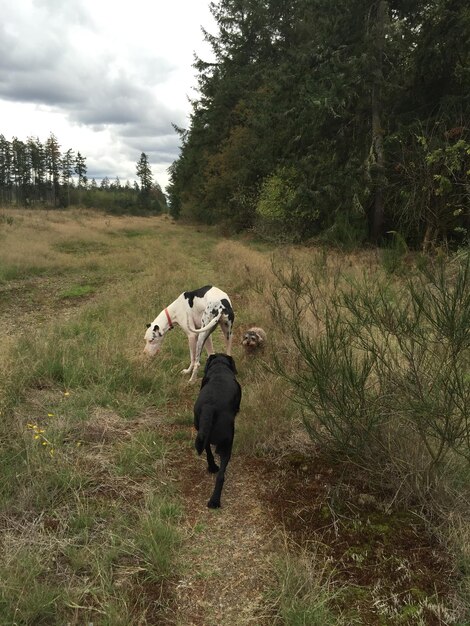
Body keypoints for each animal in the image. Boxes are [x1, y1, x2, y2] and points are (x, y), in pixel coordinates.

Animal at [194, 354, 242, 504]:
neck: (219, 367)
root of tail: (210, 407)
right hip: (228, 442)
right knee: (221, 475)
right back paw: (214, 501)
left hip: (201, 431)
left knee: (208, 450)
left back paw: (212, 467)